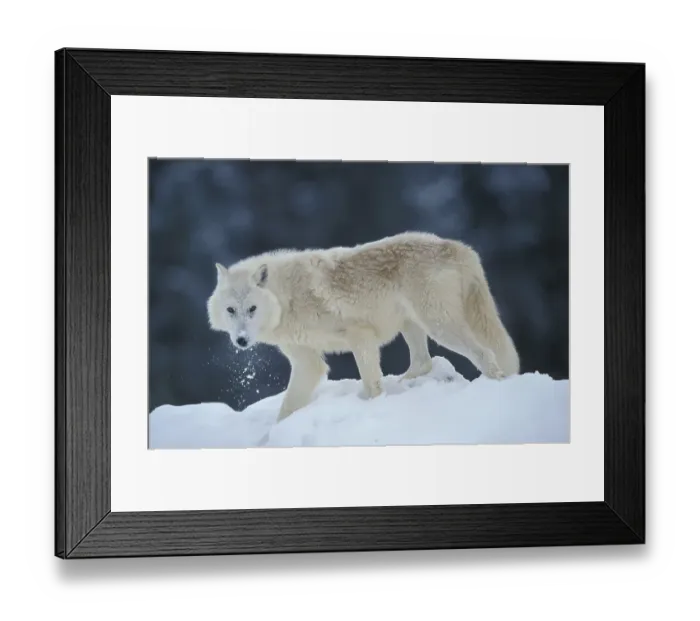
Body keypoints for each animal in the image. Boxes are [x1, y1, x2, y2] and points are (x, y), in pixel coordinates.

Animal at [207, 231, 519, 421]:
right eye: (231, 310)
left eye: (252, 309)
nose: (241, 341)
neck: (287, 298)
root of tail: (456, 246)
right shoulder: (307, 361)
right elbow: (287, 408)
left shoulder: (361, 337)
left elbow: (371, 385)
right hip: (413, 326)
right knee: (423, 362)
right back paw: (405, 384)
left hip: (440, 327)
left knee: (484, 354)